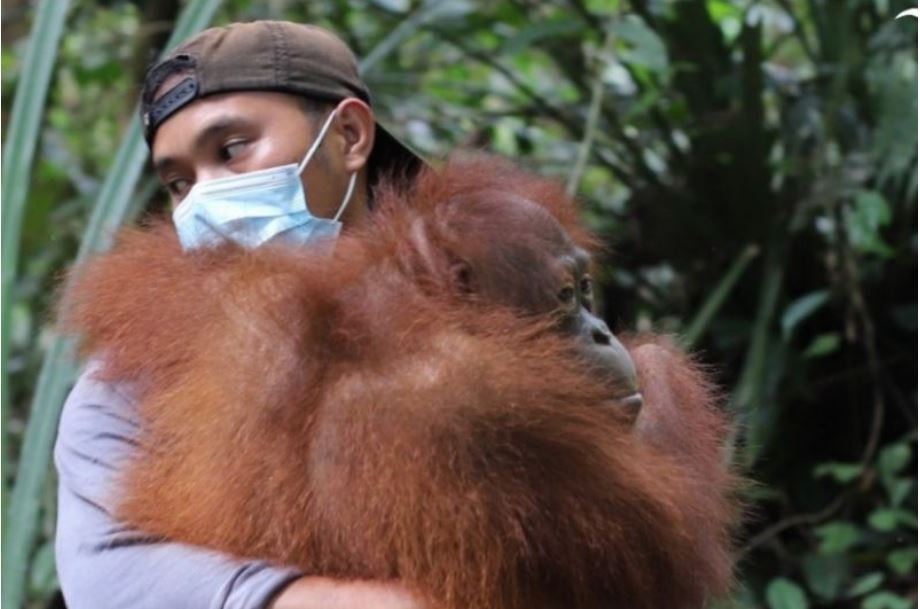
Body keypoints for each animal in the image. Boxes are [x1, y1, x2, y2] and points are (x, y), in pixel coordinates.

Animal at [60, 155, 737, 609]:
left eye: (588, 289)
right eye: (567, 295)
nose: (600, 332)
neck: (414, 312)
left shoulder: (248, 302)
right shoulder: (478, 411)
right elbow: (659, 557)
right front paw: (658, 363)